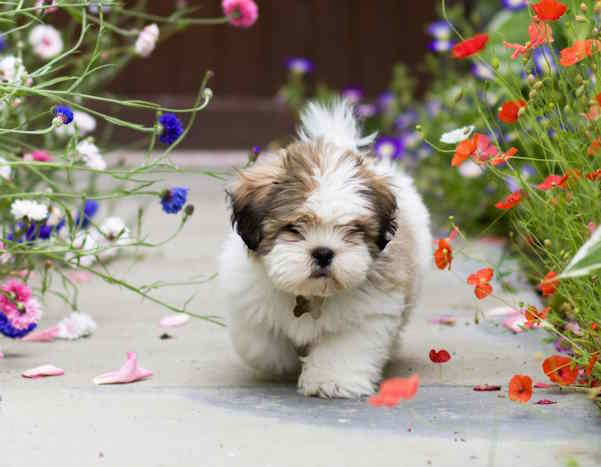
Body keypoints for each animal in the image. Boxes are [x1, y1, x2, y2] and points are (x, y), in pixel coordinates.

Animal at [220, 100, 432, 400]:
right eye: (294, 227)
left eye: (352, 229)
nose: (323, 252)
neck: (310, 295)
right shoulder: (248, 299)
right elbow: (261, 343)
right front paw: (282, 362)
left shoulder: (368, 312)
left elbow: (345, 348)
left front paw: (331, 380)